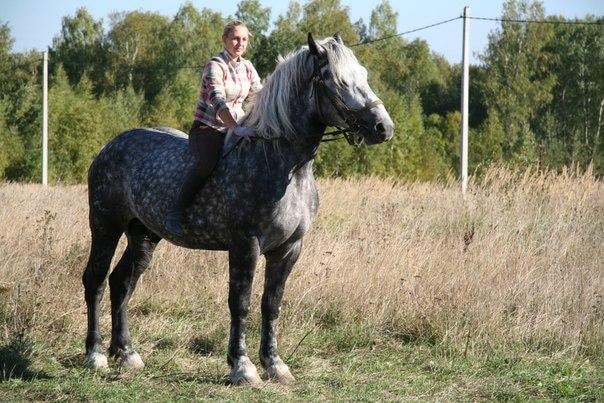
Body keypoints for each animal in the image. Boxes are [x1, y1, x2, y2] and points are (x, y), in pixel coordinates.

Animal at [82, 34, 394, 386]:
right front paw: (242, 366)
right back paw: (95, 355)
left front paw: (275, 364)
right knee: (95, 279)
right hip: (106, 225)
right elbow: (241, 303)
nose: (383, 127)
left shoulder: (288, 249)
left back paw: (127, 354)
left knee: (122, 283)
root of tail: (109, 147)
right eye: (338, 81)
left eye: (363, 75)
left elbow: (271, 304)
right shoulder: (246, 245)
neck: (285, 165)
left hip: (143, 236)